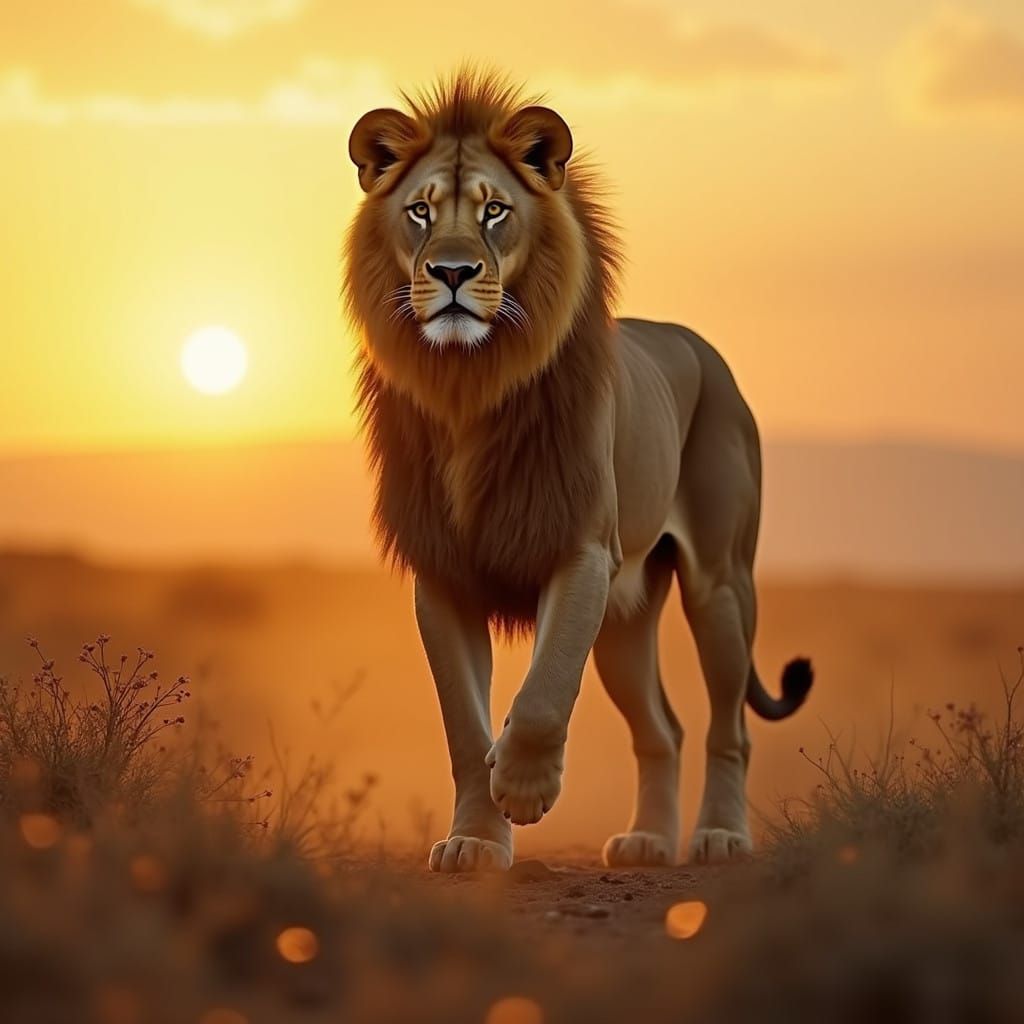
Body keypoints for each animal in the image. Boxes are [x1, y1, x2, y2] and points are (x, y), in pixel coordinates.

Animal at [343, 70, 812, 872]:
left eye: (495, 210)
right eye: (419, 212)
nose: (453, 272)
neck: (471, 385)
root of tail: (700, 347)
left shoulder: (583, 550)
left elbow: (542, 691)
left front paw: (523, 786)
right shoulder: (442, 575)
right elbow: (463, 728)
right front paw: (474, 841)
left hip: (719, 585)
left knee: (728, 726)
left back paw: (721, 837)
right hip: (627, 618)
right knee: (663, 728)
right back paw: (648, 840)